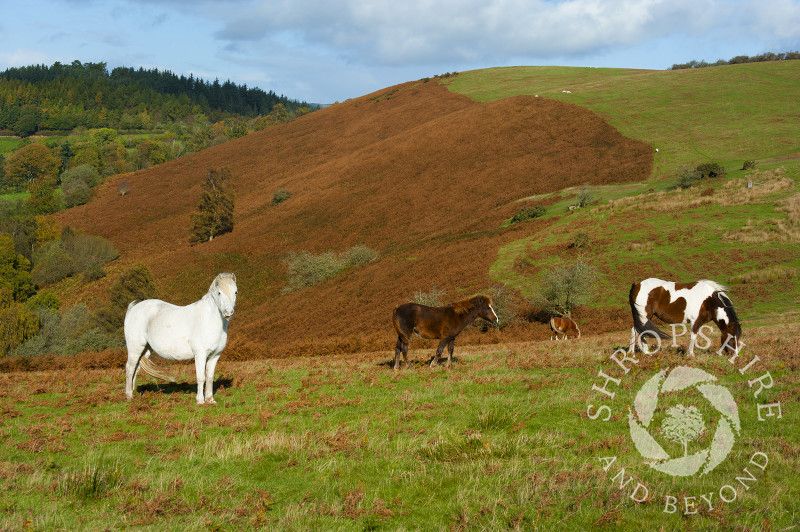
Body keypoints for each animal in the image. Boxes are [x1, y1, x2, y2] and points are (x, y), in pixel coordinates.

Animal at [123, 272, 238, 406]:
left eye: (235, 292)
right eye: (219, 292)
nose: (228, 312)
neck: (207, 320)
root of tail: (133, 308)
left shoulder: (215, 355)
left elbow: (209, 377)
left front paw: (210, 400)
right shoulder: (200, 354)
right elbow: (201, 377)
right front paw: (200, 401)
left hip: (145, 349)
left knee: (135, 369)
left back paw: (133, 394)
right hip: (135, 348)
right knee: (130, 368)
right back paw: (129, 396)